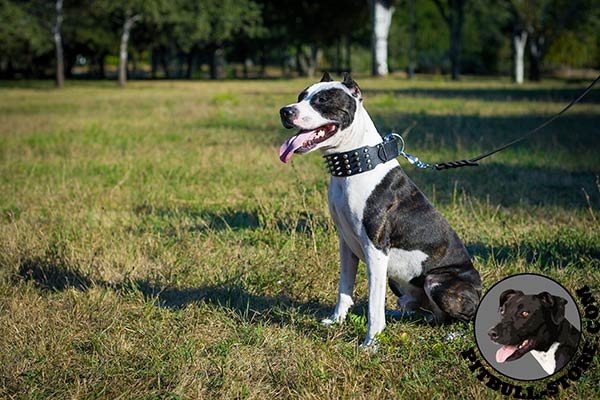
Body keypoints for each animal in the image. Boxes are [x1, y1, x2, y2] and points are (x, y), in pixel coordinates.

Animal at [278, 72, 482, 346]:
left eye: (323, 100)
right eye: (301, 97)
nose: (285, 111)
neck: (356, 163)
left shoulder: (375, 249)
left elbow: (374, 302)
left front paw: (371, 342)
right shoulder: (346, 243)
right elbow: (344, 288)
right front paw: (336, 321)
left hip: (436, 280)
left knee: (464, 318)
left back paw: (455, 334)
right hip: (400, 280)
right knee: (427, 313)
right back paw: (399, 314)